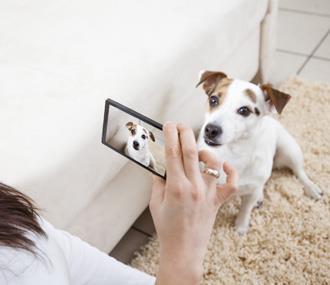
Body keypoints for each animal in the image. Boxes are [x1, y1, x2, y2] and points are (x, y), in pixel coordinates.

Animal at [196, 70, 322, 233]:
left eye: (244, 110)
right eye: (213, 100)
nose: (211, 130)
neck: (233, 153)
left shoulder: (250, 193)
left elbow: (245, 209)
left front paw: (241, 227)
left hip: (289, 149)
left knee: (299, 172)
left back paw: (311, 187)